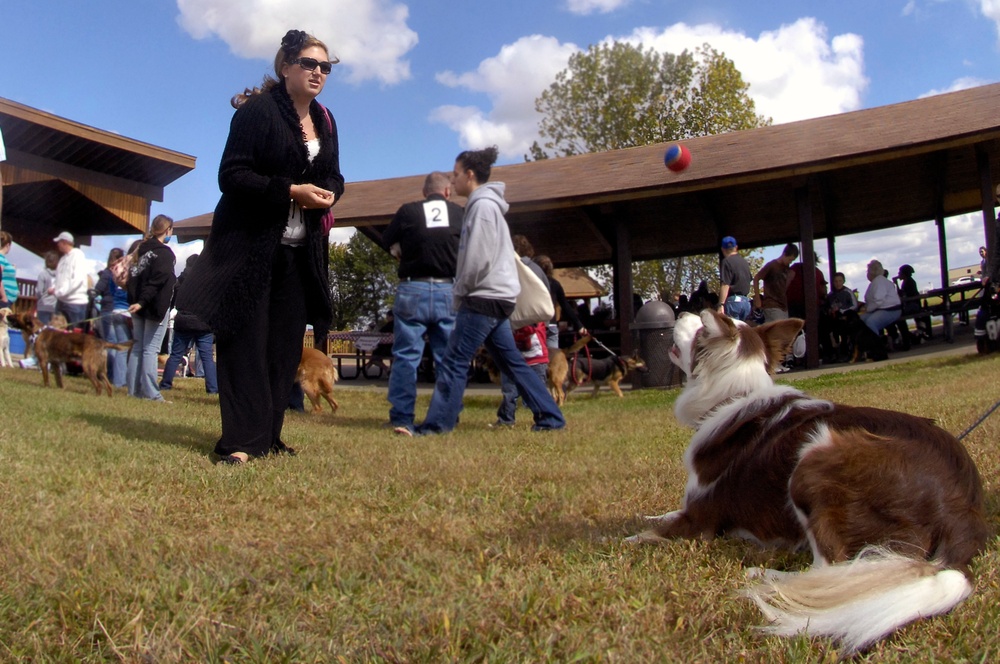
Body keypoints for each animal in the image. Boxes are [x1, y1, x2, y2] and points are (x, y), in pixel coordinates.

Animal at [628, 310, 988, 652]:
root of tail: (961, 515)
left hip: (813, 459)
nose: (679, 313)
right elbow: (660, 515)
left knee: (829, 566)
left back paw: (769, 575)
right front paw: (646, 515)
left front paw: (630, 537)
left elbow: (654, 531)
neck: (735, 395)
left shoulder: (700, 520)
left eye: (701, 328)